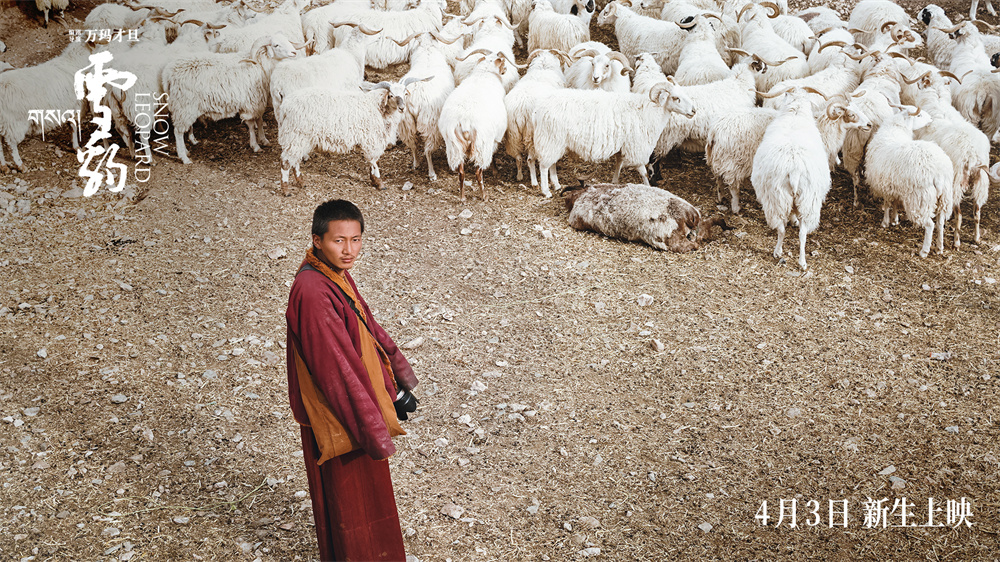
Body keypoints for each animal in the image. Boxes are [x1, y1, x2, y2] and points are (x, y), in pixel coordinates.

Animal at [162, 34, 296, 163]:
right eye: (276, 45)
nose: (294, 52)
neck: (261, 63)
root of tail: (168, 74)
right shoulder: (250, 102)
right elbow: (251, 125)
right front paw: (255, 146)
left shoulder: (258, 102)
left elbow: (260, 120)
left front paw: (264, 140)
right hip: (184, 105)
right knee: (178, 131)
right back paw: (184, 157)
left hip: (183, 107)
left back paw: (185, 151)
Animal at [752, 87, 832, 270]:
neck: (795, 112)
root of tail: (795, 171)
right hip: (808, 200)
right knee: (803, 233)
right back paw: (802, 262)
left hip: (777, 199)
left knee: (781, 229)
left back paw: (777, 252)